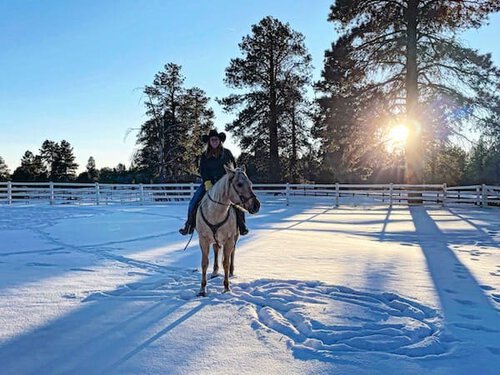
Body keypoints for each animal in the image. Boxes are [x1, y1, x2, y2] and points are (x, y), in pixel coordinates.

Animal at [194, 164, 262, 296]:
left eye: (250, 183)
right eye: (239, 184)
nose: (256, 206)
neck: (215, 213)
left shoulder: (229, 239)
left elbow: (226, 262)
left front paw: (226, 287)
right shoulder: (203, 240)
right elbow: (204, 263)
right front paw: (202, 289)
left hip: (235, 237)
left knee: (232, 253)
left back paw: (231, 272)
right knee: (216, 250)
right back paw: (215, 271)